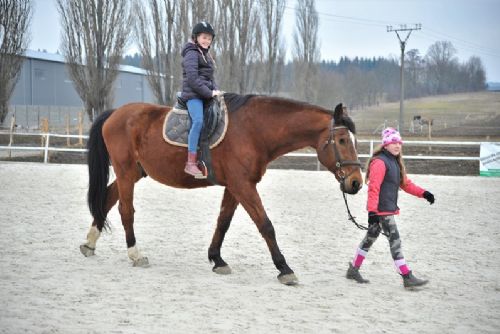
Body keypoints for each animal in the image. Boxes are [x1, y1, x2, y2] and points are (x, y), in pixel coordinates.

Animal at [82, 93, 364, 284]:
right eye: (341, 140)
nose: (356, 182)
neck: (253, 130)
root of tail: (115, 113)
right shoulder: (243, 185)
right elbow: (266, 225)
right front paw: (284, 268)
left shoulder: (236, 186)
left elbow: (223, 222)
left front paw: (217, 259)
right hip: (126, 172)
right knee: (125, 210)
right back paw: (135, 254)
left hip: (134, 173)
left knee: (107, 200)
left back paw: (90, 244)